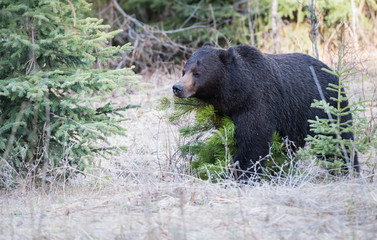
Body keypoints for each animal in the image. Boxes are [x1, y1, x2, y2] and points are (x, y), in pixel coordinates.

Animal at [172, 43, 356, 180]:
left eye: (197, 73)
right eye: (184, 70)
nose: (177, 87)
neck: (236, 91)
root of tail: (333, 72)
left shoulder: (257, 102)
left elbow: (254, 139)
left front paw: (240, 174)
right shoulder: (227, 111)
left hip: (325, 109)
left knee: (338, 140)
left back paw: (348, 170)